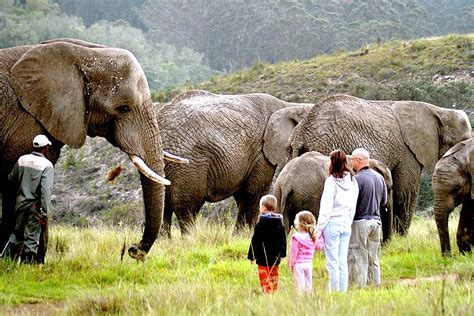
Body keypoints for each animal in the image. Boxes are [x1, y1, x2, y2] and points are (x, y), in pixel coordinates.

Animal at [156, 89, 314, 235]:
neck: (289, 106)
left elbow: (244, 194)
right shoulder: (261, 154)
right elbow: (254, 193)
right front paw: (244, 235)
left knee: (164, 207)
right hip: (190, 163)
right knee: (187, 208)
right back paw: (190, 239)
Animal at [286, 93, 472, 235]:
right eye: (462, 142)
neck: (438, 111)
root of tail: (301, 133)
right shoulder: (407, 152)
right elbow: (405, 194)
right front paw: (400, 238)